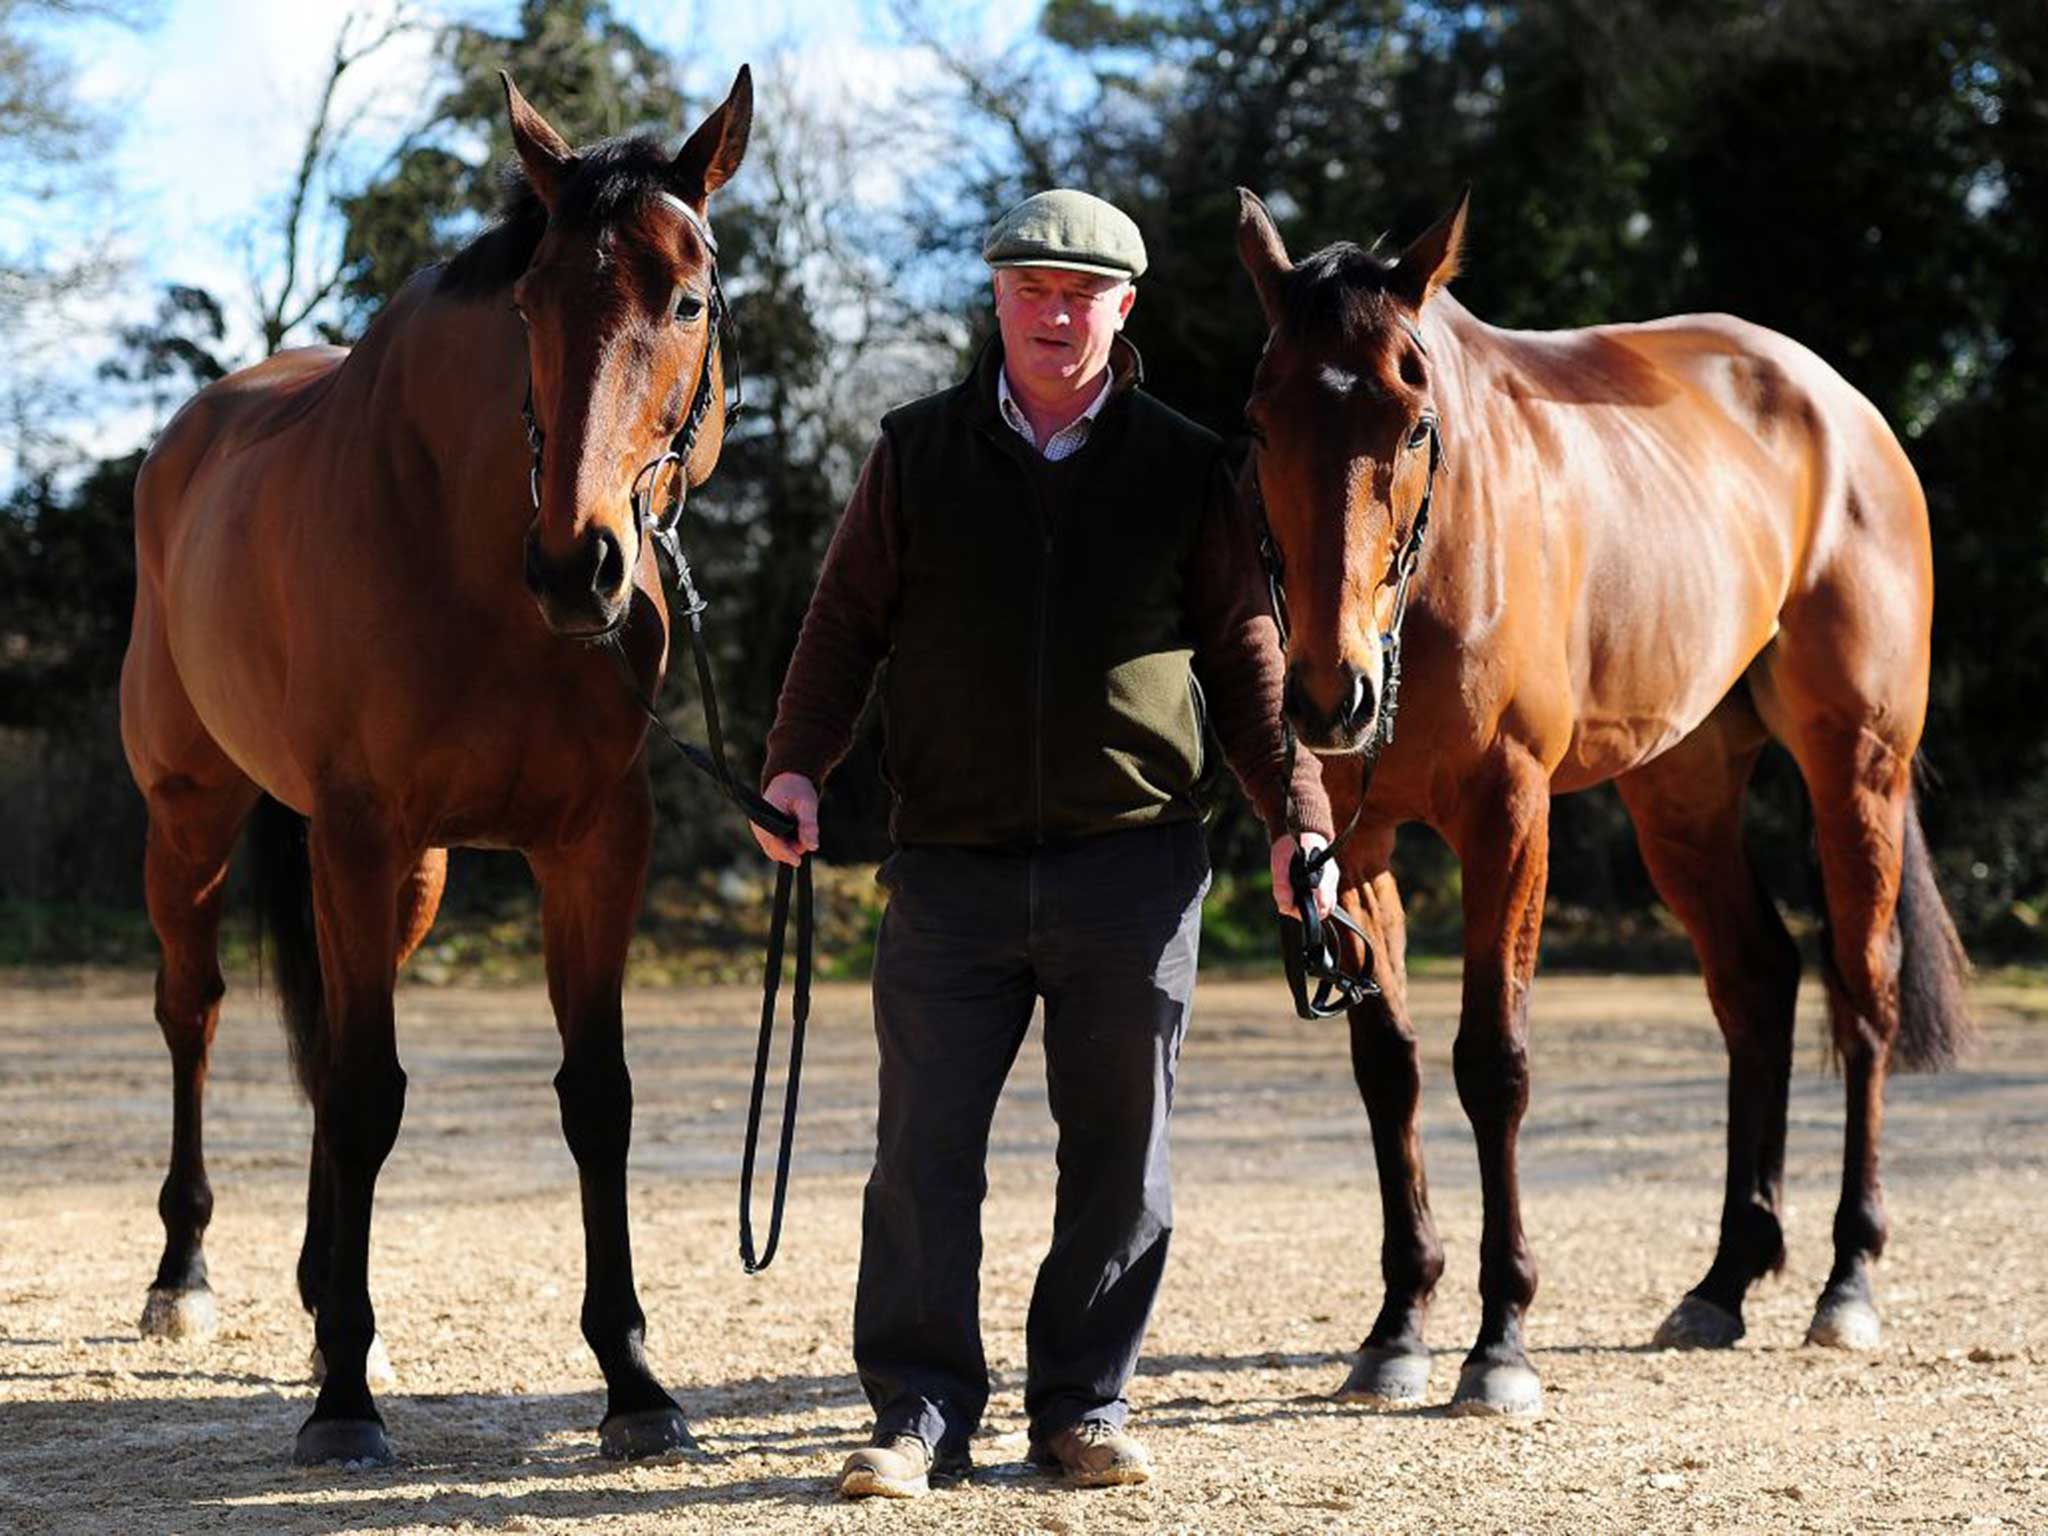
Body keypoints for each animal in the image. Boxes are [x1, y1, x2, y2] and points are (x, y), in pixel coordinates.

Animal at [114, 69, 753, 1466]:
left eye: (686, 299)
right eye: (529, 307)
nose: (580, 566)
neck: (472, 560)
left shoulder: (591, 846)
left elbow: (594, 1096)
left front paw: (634, 1381)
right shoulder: (360, 832)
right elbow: (365, 1093)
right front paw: (345, 1406)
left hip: (410, 881)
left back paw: (317, 1300)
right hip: (191, 817)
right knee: (195, 1013)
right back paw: (184, 1277)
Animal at [1228, 189, 1966, 1417]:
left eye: (1414, 423)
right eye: (1258, 420)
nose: (1335, 696)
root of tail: (1844, 409)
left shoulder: (1508, 812)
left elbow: (1494, 1061)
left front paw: (1498, 1343)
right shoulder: (1348, 839)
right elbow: (1389, 1068)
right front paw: (1396, 1328)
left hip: (1854, 762)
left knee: (1862, 993)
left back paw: (1846, 1282)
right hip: (1679, 789)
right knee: (1756, 982)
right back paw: (1723, 1282)